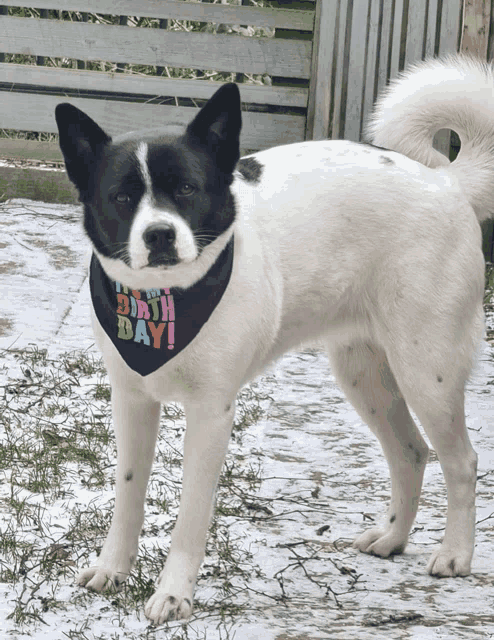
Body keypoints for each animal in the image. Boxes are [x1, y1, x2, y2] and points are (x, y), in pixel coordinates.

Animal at [55, 57, 490, 624]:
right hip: (364, 376)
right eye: (123, 198)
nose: (159, 235)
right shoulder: (131, 400)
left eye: (187, 190)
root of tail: (445, 182)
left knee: (461, 462)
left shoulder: (212, 413)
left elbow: (191, 514)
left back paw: (455, 554)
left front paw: (173, 593)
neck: (165, 301)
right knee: (411, 453)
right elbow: (128, 494)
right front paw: (113, 569)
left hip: (427, 371)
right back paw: (393, 538)